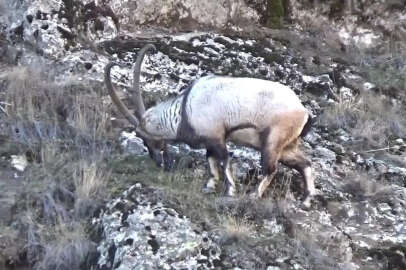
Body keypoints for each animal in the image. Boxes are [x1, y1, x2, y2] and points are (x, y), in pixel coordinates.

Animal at [104, 44, 318, 207]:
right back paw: (306, 201)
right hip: (287, 146)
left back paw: (254, 194)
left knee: (271, 169)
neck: (184, 110)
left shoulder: (217, 137)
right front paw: (209, 186)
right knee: (305, 163)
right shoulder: (209, 141)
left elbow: (224, 160)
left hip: (273, 141)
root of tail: (303, 111)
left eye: (145, 138)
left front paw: (230, 190)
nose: (158, 162)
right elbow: (211, 161)